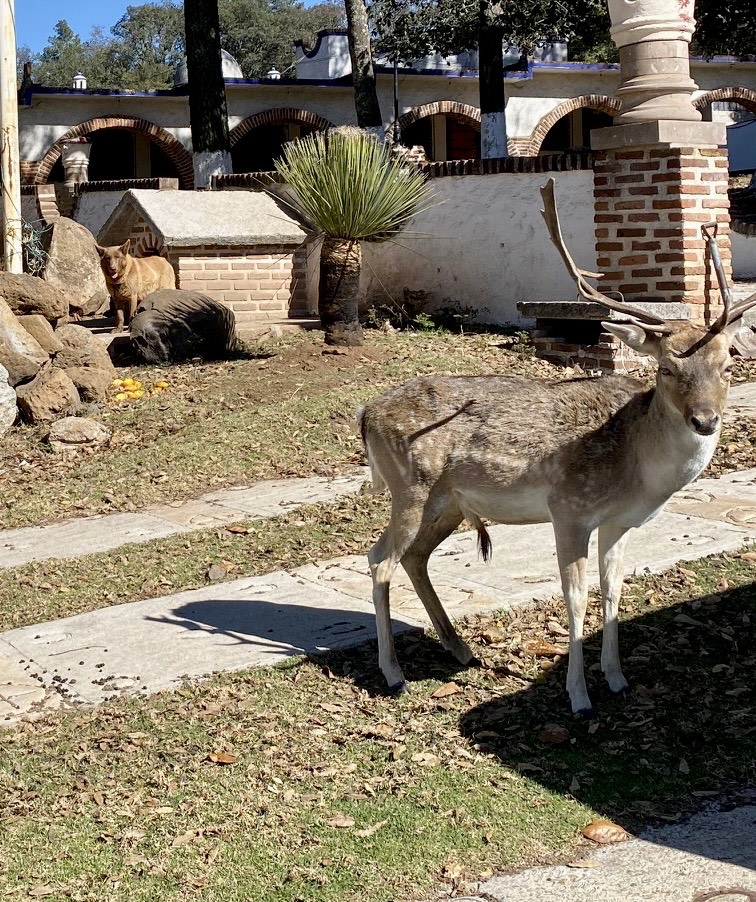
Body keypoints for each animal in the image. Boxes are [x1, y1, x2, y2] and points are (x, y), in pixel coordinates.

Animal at [358, 177, 756, 718]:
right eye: (667, 369)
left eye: (728, 366)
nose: (705, 420)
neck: (636, 470)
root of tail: (365, 415)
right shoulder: (568, 508)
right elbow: (576, 598)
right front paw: (579, 696)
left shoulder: (619, 521)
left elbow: (613, 592)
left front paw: (617, 678)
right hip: (409, 487)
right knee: (380, 559)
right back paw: (393, 673)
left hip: (450, 502)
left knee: (414, 556)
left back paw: (462, 650)